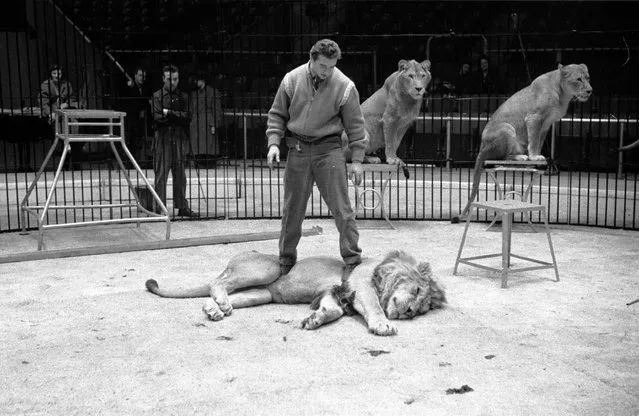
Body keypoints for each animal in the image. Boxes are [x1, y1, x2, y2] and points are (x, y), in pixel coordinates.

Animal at [145, 250, 444, 334]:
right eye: (417, 290)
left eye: (422, 310)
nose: (408, 312)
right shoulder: (360, 286)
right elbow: (375, 306)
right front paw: (383, 325)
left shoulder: (332, 294)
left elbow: (333, 311)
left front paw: (314, 320)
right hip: (268, 268)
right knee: (215, 282)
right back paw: (217, 301)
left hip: (260, 294)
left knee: (225, 293)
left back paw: (215, 309)